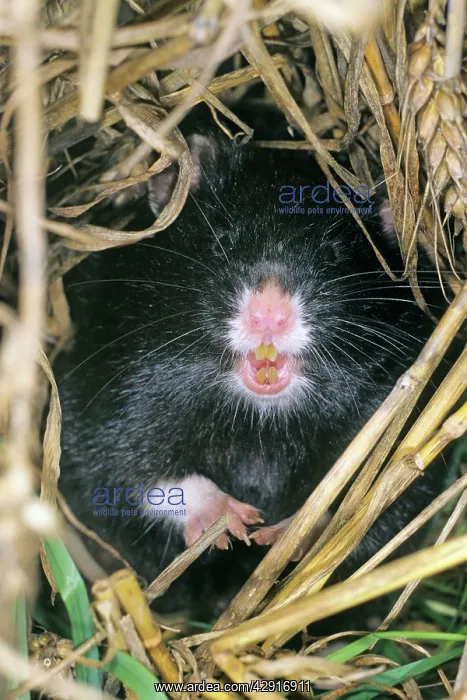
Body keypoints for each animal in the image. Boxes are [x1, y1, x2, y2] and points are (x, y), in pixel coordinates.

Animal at [55, 113, 448, 621]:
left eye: (334, 254)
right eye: (224, 238)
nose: (268, 316)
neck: (259, 415)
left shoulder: (390, 410)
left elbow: (361, 499)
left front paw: (281, 534)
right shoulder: (110, 405)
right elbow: (134, 474)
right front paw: (232, 521)